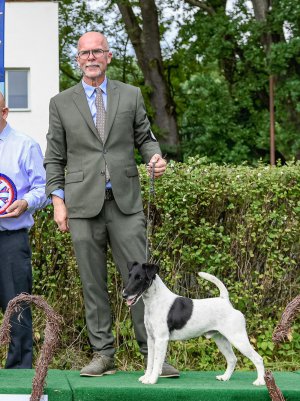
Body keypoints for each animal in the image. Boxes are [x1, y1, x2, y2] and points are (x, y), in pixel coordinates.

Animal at [122, 260, 264, 386]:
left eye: (140, 278)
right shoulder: (151, 339)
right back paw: (225, 377)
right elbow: (150, 361)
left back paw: (260, 381)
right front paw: (146, 377)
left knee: (258, 358)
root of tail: (225, 301)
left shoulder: (161, 339)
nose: (124, 295)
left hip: (238, 339)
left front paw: (152, 380)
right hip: (221, 340)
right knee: (232, 359)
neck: (155, 301)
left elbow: (157, 362)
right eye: (129, 276)